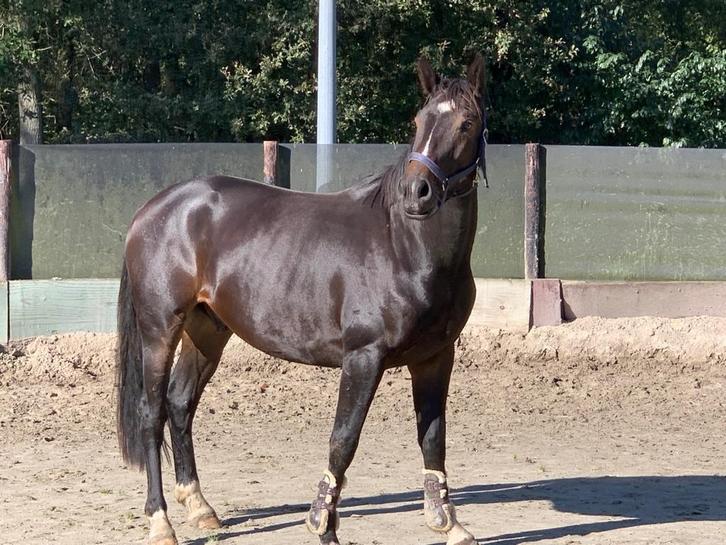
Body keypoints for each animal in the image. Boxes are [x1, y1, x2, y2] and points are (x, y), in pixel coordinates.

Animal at [116, 54, 487, 545]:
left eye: (467, 123)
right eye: (419, 120)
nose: (417, 192)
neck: (405, 245)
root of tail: (154, 209)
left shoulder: (436, 357)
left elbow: (433, 437)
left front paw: (450, 524)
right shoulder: (363, 358)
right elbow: (343, 440)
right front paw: (323, 526)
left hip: (208, 329)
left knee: (180, 403)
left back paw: (200, 507)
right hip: (160, 328)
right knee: (151, 412)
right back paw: (161, 521)